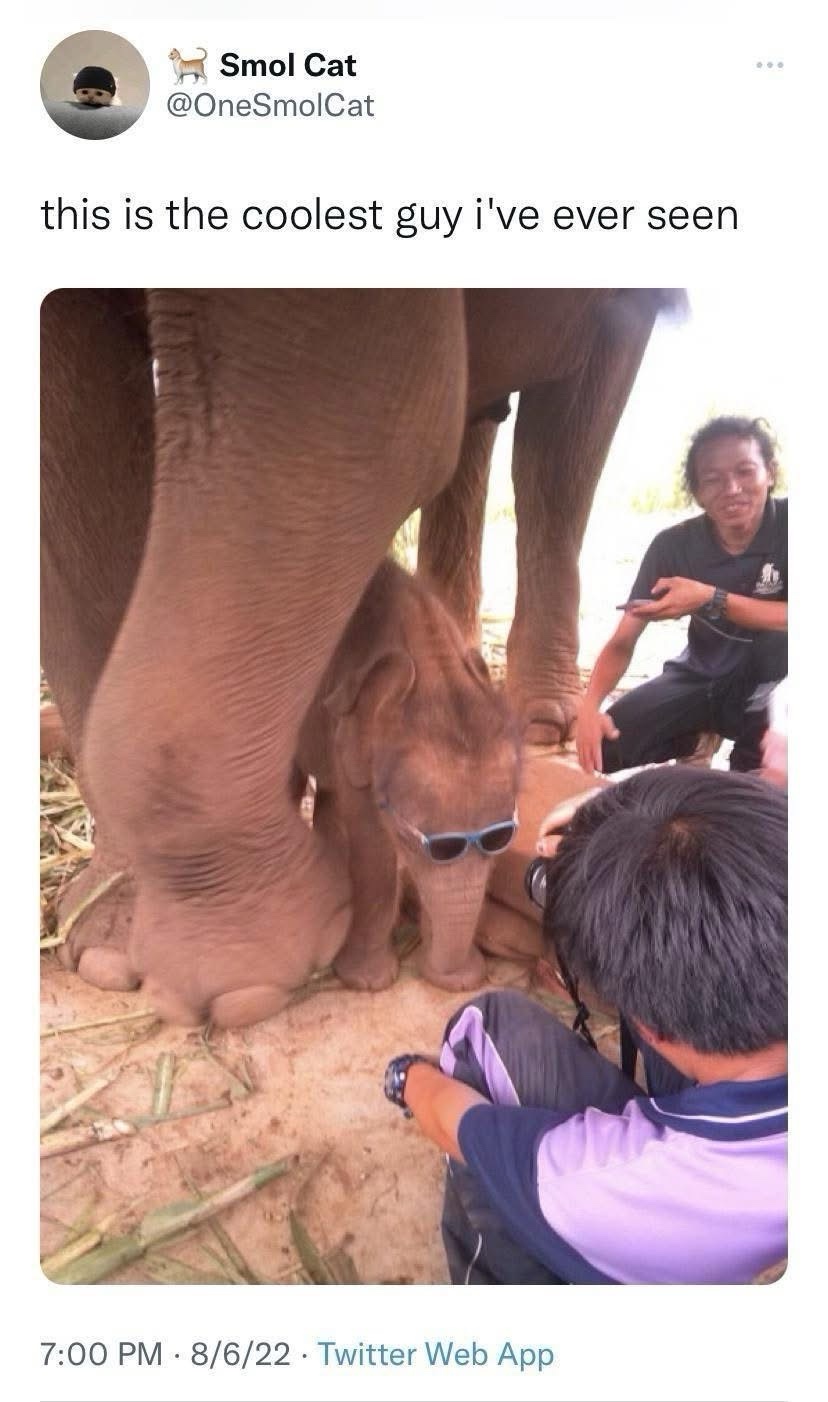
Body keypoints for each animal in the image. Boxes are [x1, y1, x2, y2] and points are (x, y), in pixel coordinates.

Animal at [297, 552, 518, 992]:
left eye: (500, 840)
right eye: (413, 839)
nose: (465, 981)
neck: (431, 661)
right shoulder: (349, 729)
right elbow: (372, 840)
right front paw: (366, 982)